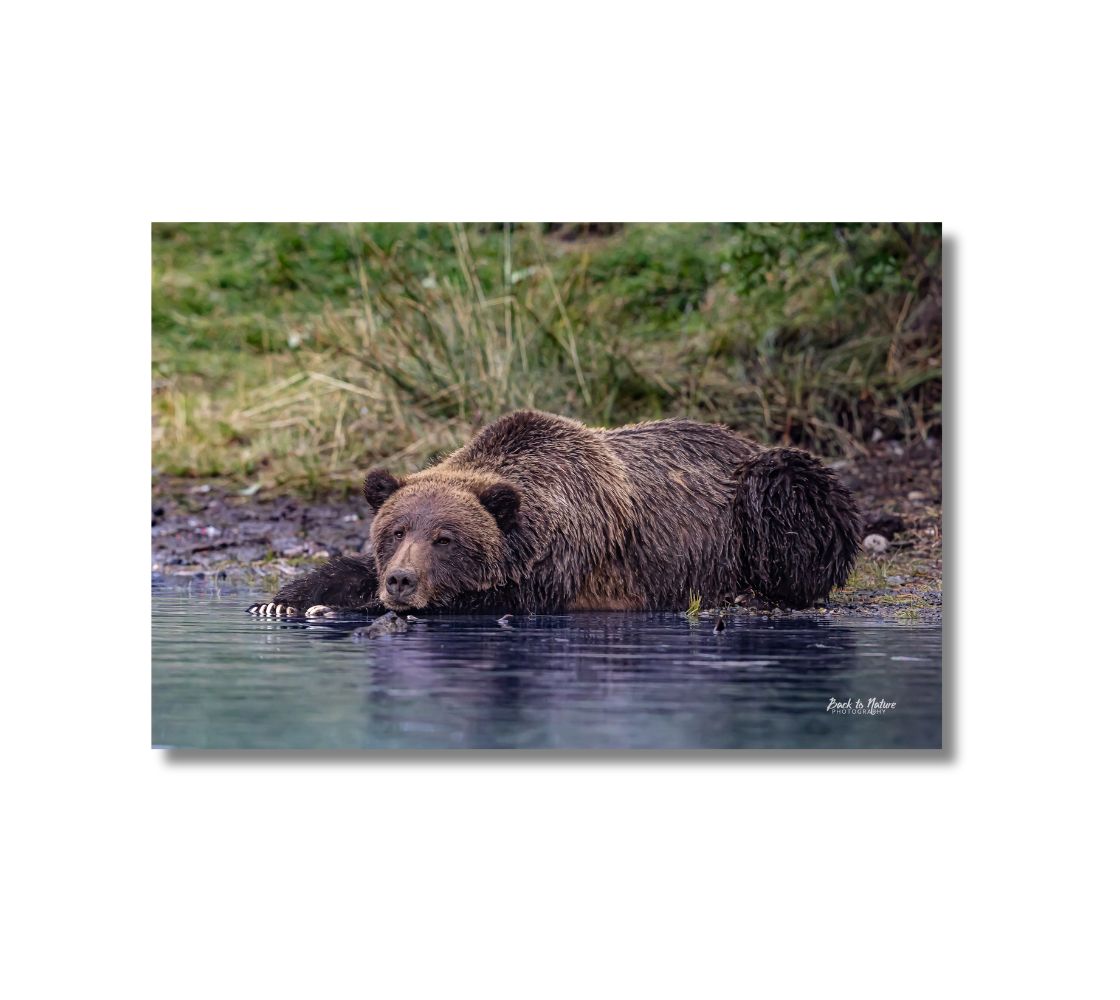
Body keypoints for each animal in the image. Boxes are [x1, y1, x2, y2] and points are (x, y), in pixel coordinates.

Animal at [247, 407, 855, 618]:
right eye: (394, 531)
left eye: (446, 538)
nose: (401, 580)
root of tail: (741, 438)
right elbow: (344, 570)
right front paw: (282, 600)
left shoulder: (565, 567)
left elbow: (494, 601)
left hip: (764, 494)